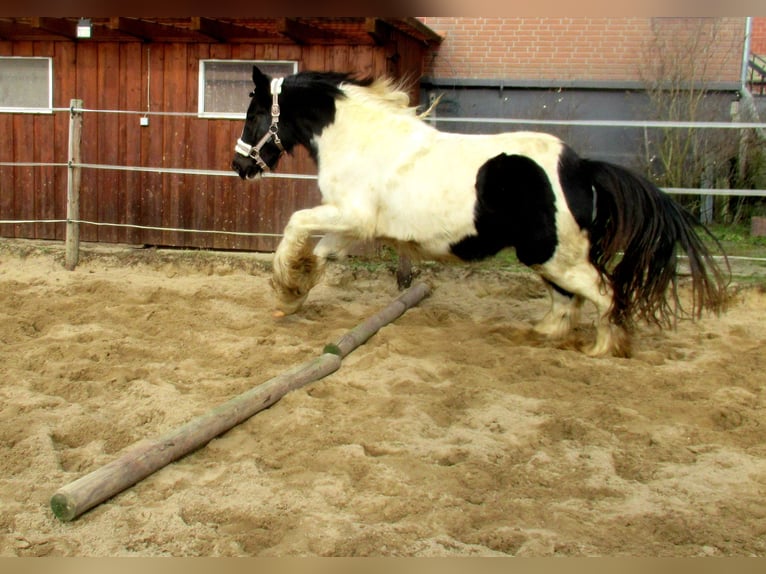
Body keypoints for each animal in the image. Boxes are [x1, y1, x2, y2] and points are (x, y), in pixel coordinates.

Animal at [234, 66, 732, 356]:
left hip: (556, 256)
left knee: (605, 295)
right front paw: (292, 294)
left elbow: (296, 224)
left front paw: (285, 284)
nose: (240, 166)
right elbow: (320, 255)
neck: (361, 139)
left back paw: (603, 350)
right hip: (547, 258)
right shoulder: (353, 224)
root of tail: (581, 168)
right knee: (565, 302)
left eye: (254, 114)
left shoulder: (352, 215)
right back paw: (539, 336)